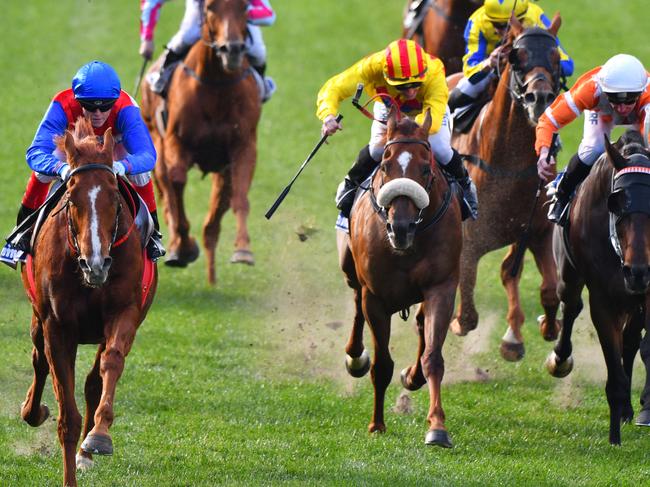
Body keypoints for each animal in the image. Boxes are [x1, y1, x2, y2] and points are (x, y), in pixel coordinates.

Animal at [19, 119, 157, 487]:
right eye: (71, 196)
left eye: (113, 195)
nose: (96, 264)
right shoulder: (57, 326)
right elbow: (67, 414)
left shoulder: (125, 312)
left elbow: (110, 364)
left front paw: (99, 436)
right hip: (38, 318)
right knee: (39, 360)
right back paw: (32, 410)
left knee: (94, 379)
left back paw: (87, 449)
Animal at [140, 0, 260, 286]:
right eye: (209, 7)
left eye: (245, 6)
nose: (232, 49)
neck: (216, 85)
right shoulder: (176, 144)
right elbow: (176, 186)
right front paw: (182, 248)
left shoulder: (244, 146)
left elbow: (240, 196)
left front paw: (243, 249)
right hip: (156, 142)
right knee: (166, 194)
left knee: (212, 224)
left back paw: (212, 277)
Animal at [340, 108, 460, 448]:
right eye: (384, 165)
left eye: (426, 167)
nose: (401, 228)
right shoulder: (375, 297)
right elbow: (382, 364)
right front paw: (376, 424)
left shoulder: (442, 287)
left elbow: (433, 357)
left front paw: (437, 427)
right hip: (350, 269)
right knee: (355, 303)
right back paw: (355, 357)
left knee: (420, 326)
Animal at [446, 16, 560, 362]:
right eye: (516, 57)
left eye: (556, 58)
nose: (540, 98)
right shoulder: (468, 239)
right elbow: (466, 313)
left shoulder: (537, 231)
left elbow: (549, 289)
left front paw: (544, 327)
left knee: (510, 270)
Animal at [544, 133, 648, 446]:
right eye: (618, 205)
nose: (637, 272)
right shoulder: (603, 299)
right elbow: (614, 371)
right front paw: (614, 438)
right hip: (568, 274)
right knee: (570, 306)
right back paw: (560, 358)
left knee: (630, 340)